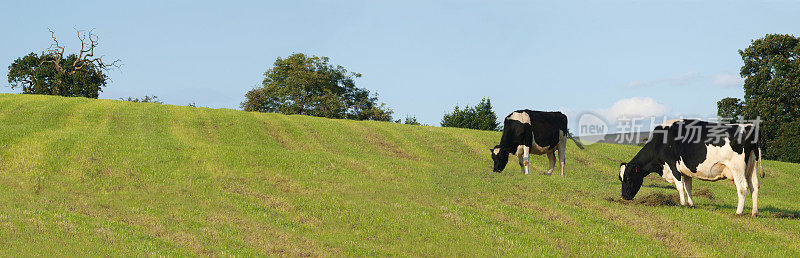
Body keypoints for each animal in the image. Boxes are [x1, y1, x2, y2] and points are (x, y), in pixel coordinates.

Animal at [620, 119, 764, 216]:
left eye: (628, 178)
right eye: (621, 179)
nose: (624, 197)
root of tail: (749, 127)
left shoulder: (673, 166)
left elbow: (679, 187)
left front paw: (682, 204)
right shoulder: (686, 171)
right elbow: (688, 187)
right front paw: (691, 204)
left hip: (737, 168)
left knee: (742, 188)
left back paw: (738, 212)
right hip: (752, 167)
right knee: (754, 187)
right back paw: (754, 212)